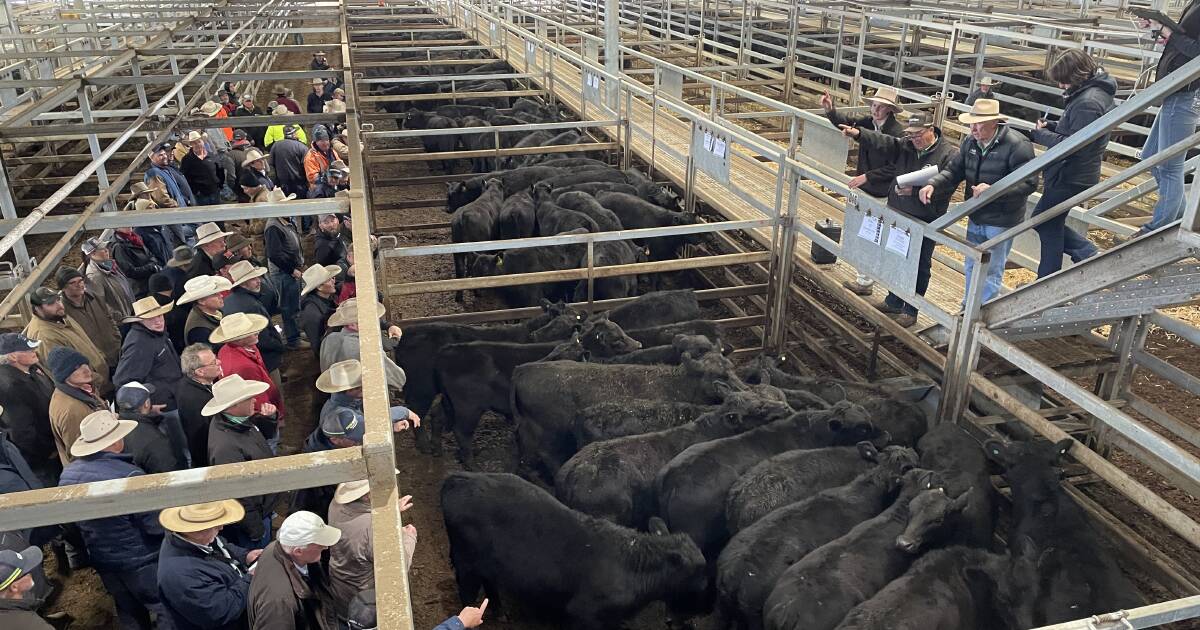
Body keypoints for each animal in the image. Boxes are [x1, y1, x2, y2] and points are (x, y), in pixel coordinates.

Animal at [433, 316, 640, 466]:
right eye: (618, 339)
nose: (639, 344)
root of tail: (447, 351)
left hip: (449, 403)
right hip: (468, 408)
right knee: (462, 432)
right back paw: (470, 463)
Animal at [441, 472, 708, 630]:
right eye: (700, 572)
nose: (707, 594)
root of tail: (462, 478)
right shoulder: (583, 612)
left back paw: (499, 611)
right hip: (467, 564)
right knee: (467, 592)